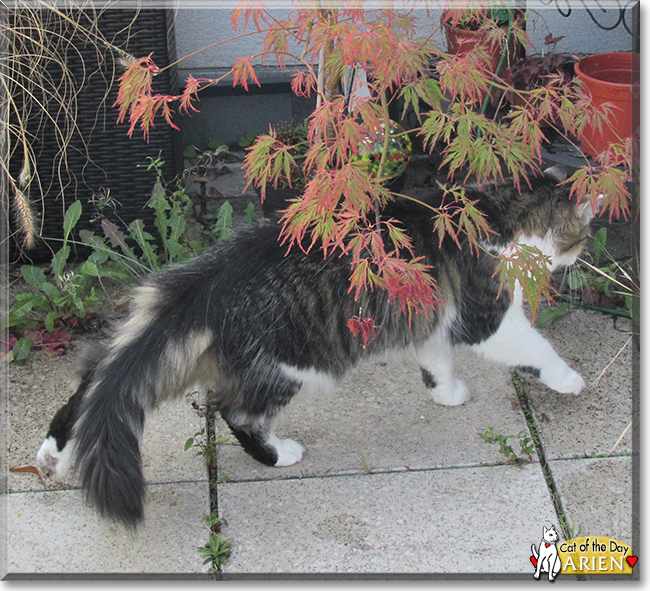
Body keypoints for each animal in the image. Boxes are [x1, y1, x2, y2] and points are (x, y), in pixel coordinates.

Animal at [34, 168, 592, 528]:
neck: (500, 212)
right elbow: (537, 351)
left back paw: (52, 457)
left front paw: (446, 393)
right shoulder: (489, 319)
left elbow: (436, 363)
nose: (582, 255)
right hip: (296, 366)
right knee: (236, 412)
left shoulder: (431, 320)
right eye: (582, 235)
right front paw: (570, 381)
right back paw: (279, 454)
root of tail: (206, 286)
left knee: (85, 389)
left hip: (125, 342)